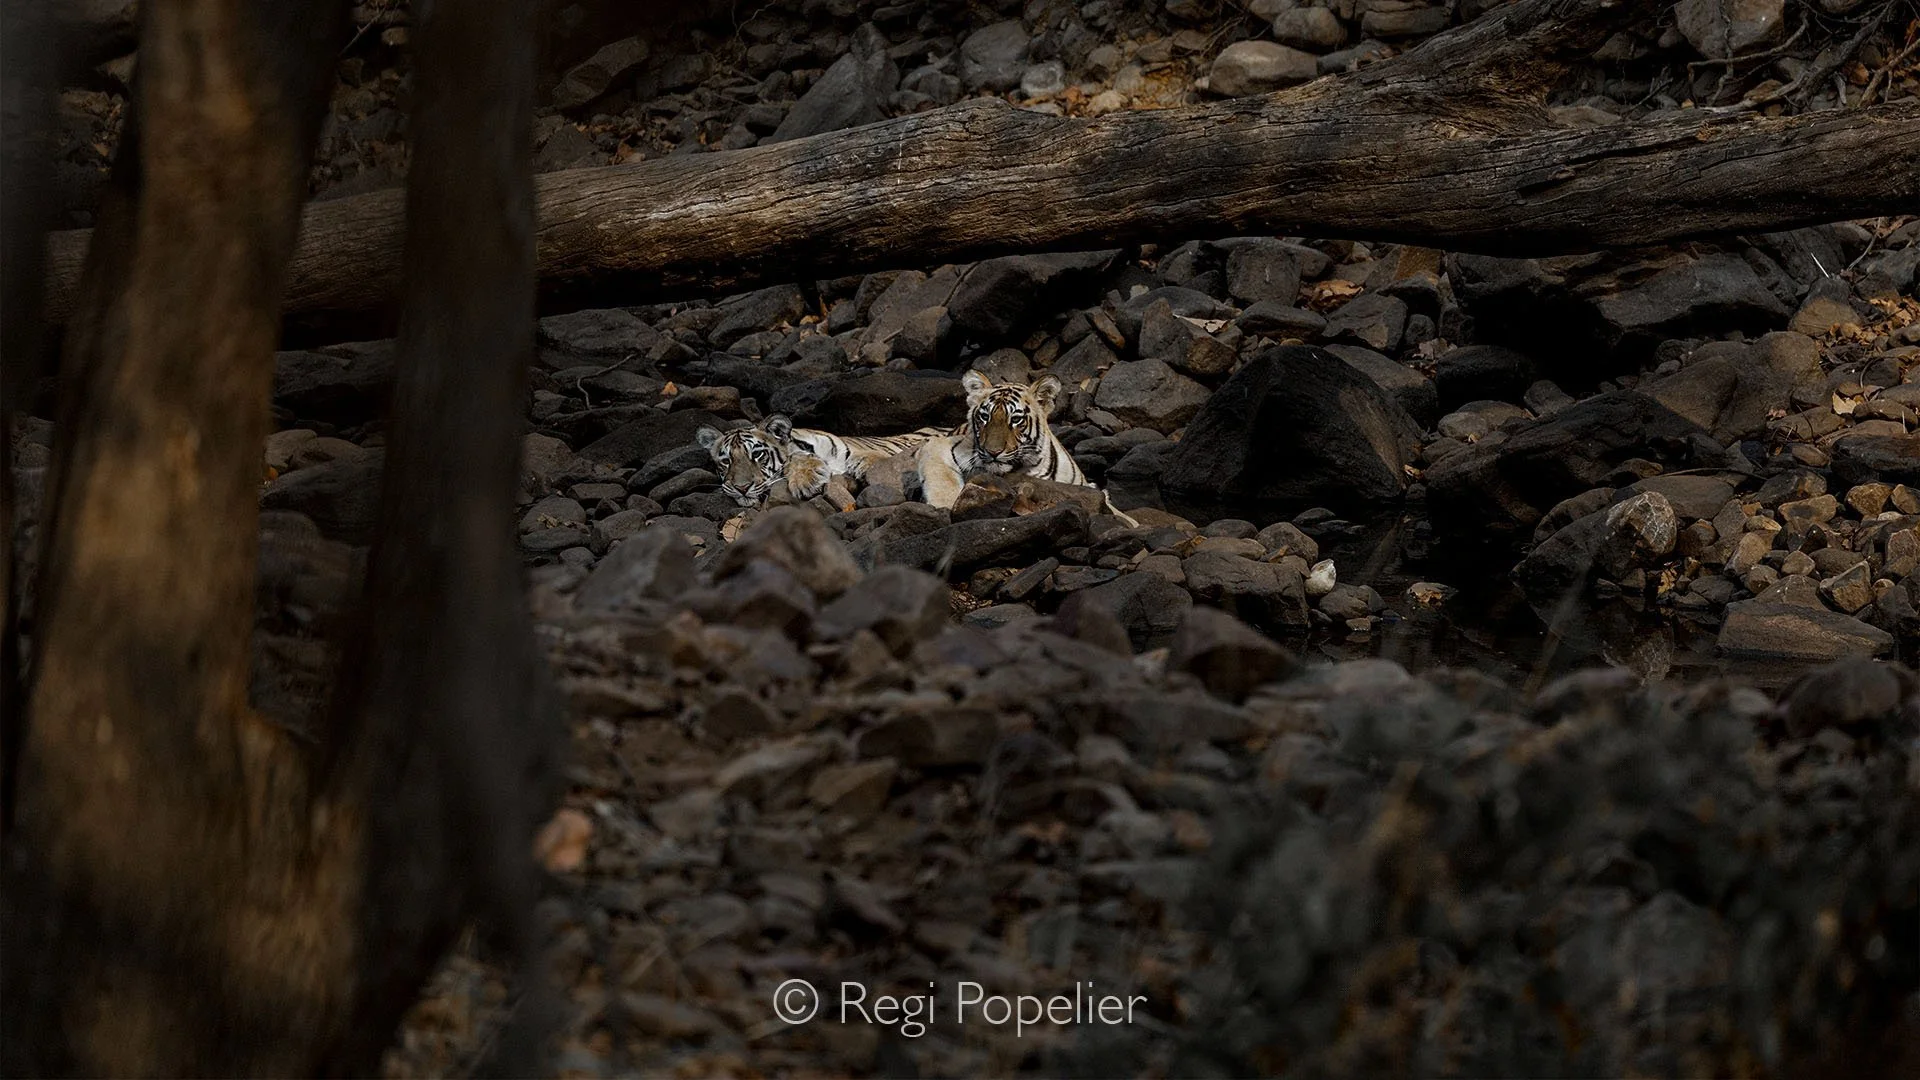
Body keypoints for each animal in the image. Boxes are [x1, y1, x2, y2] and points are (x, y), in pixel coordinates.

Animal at [915, 370, 1138, 526]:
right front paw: (947, 504)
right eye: (984, 417)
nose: (993, 452)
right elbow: (941, 478)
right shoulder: (939, 445)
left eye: (1015, 420)